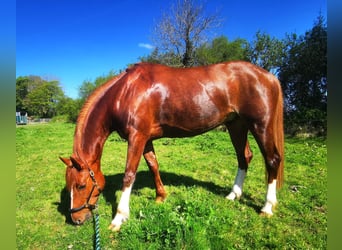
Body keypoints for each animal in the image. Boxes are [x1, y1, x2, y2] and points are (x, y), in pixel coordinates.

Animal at [60, 60, 284, 230]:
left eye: (81, 185)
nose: (76, 219)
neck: (125, 92)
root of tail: (269, 76)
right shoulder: (146, 139)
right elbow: (153, 165)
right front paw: (161, 196)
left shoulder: (136, 137)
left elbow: (129, 175)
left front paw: (119, 217)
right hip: (236, 125)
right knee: (244, 157)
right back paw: (233, 194)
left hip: (260, 125)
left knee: (272, 159)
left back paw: (267, 206)